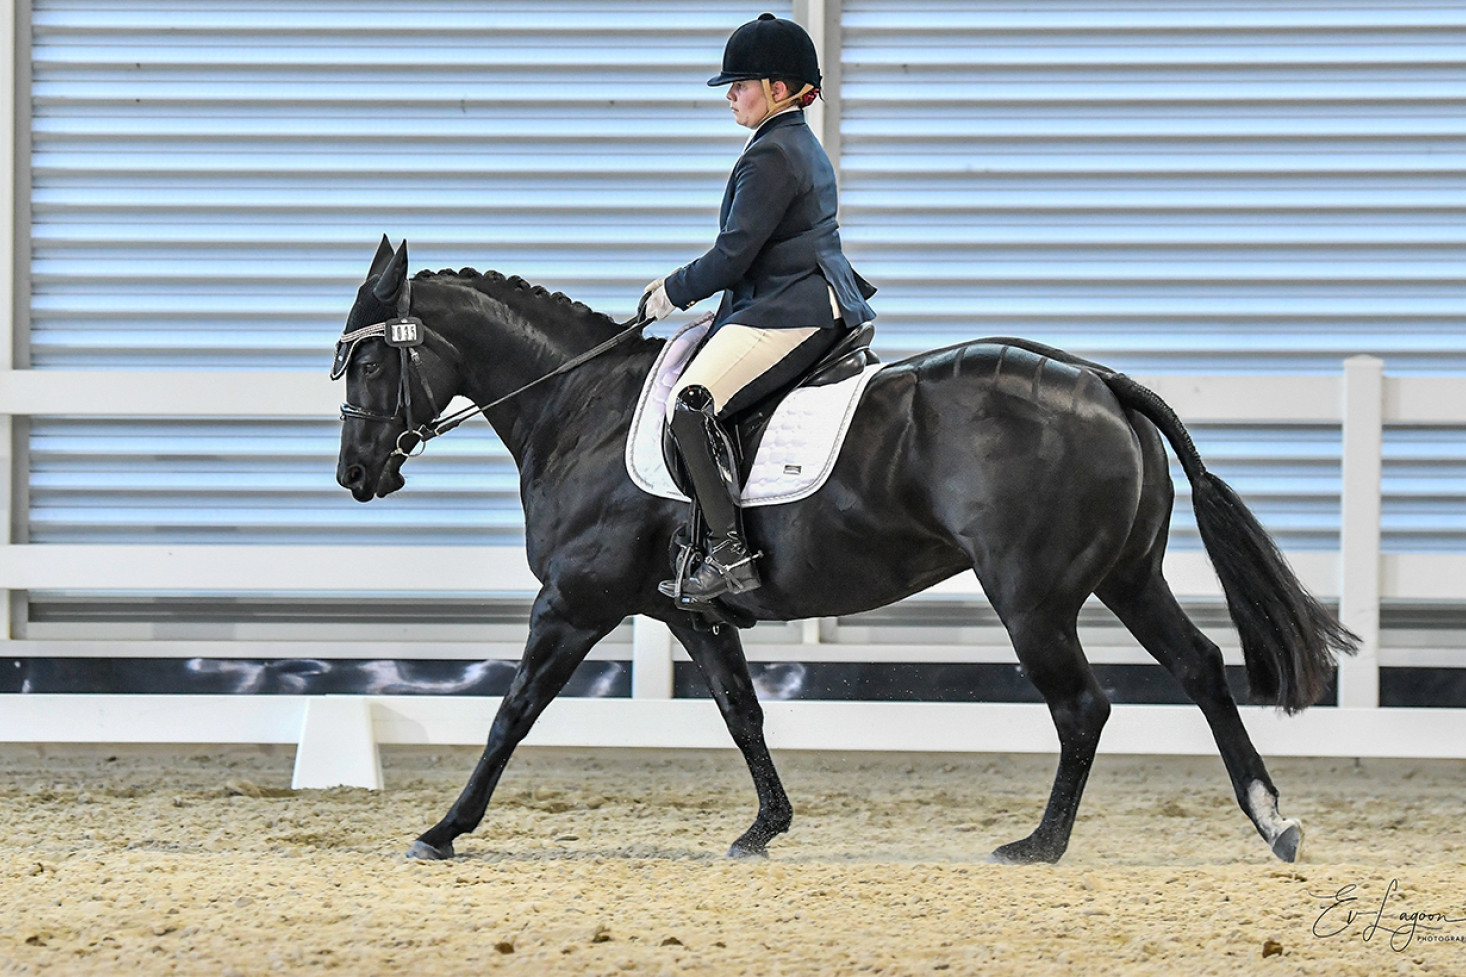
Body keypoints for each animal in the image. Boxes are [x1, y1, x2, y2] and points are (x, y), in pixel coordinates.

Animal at [335, 239, 1360, 862]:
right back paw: (1273, 820)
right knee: (1199, 668)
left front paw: (443, 828)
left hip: (1033, 597)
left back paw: (1039, 844)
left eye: (372, 360)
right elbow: (743, 713)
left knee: (1084, 705)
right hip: (1127, 577)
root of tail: (1102, 382)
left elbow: (511, 713)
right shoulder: (689, 609)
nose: (355, 474)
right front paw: (764, 827)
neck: (575, 408)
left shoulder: (573, 602)